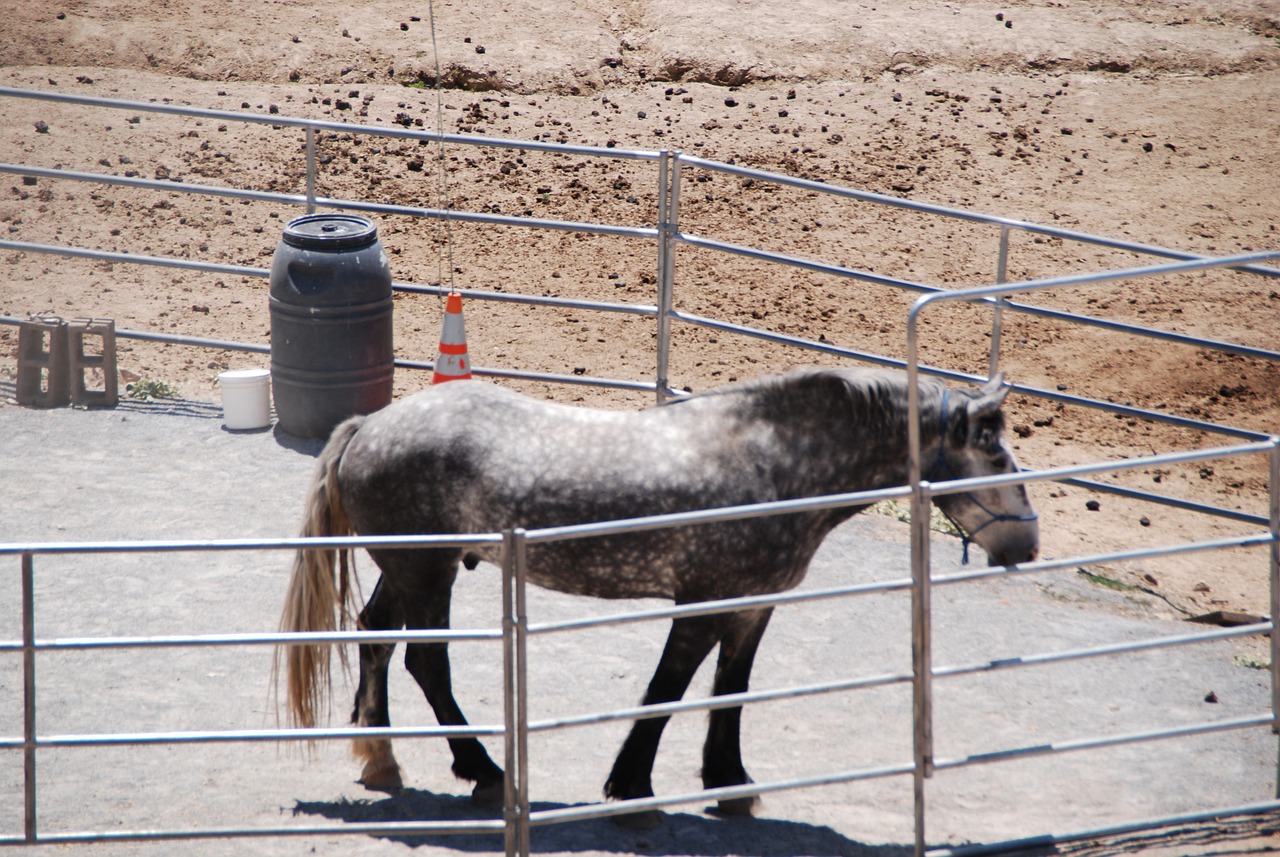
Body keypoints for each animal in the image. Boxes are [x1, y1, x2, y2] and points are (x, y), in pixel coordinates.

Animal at [277, 366, 1038, 819]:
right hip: (427, 573)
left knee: (375, 638)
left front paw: (730, 783)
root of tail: (368, 427)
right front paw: (632, 787)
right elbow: (667, 691)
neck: (775, 464)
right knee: (424, 661)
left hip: (408, 571)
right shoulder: (698, 606)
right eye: (995, 455)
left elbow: (729, 691)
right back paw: (483, 770)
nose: (1026, 546)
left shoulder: (753, 608)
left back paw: (381, 759)